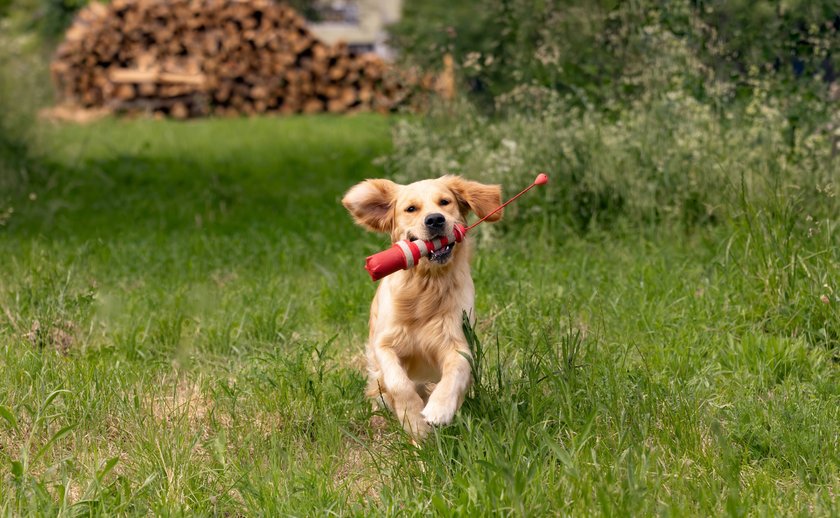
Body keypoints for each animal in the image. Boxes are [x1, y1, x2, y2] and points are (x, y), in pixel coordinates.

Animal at [340, 177, 498, 440]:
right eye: (411, 209)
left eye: (445, 202)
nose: (435, 220)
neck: (426, 285)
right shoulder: (384, 344)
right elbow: (399, 383)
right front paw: (414, 421)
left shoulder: (457, 340)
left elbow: (456, 369)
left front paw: (439, 409)